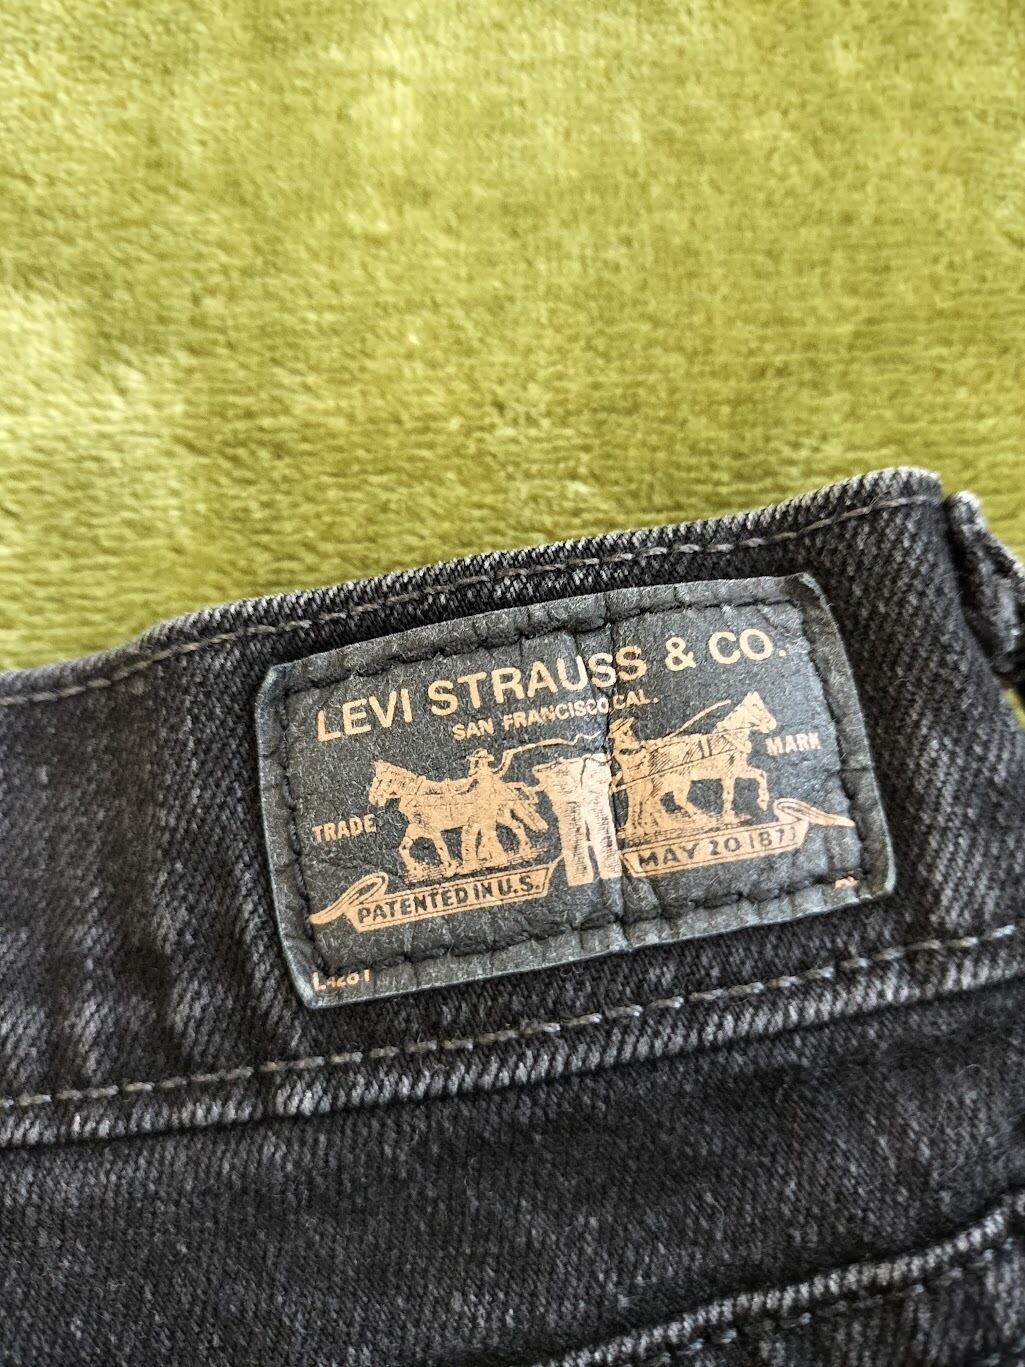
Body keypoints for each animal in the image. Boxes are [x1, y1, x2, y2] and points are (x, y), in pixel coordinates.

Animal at [368, 760, 547, 881]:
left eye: (382, 780)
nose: (373, 799)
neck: (417, 795)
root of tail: (502, 785)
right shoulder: (416, 828)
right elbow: (403, 848)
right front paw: (415, 869)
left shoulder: (432, 829)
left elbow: (440, 847)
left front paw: (449, 869)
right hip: (500, 816)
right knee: (516, 826)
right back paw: (519, 850)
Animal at [608, 692, 779, 835]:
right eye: (756, 706)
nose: (773, 724)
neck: (727, 739)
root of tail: (651, 754)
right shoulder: (729, 773)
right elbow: (728, 795)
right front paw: (729, 817)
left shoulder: (739, 769)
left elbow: (761, 774)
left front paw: (762, 802)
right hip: (667, 782)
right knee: (650, 800)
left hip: (677, 782)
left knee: (667, 800)